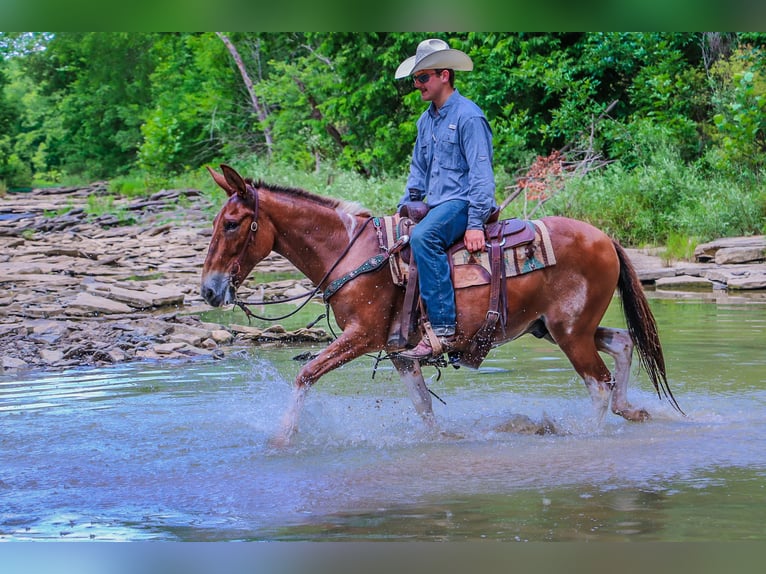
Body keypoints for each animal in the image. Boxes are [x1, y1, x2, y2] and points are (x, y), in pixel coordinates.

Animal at [201, 164, 681, 446]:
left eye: (232, 223)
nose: (208, 290)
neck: (353, 253)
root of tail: (605, 238)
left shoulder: (362, 336)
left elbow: (306, 374)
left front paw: (283, 437)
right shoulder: (398, 351)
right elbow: (422, 406)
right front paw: (443, 439)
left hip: (570, 333)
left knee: (598, 383)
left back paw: (584, 432)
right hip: (557, 327)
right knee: (622, 344)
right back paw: (630, 409)